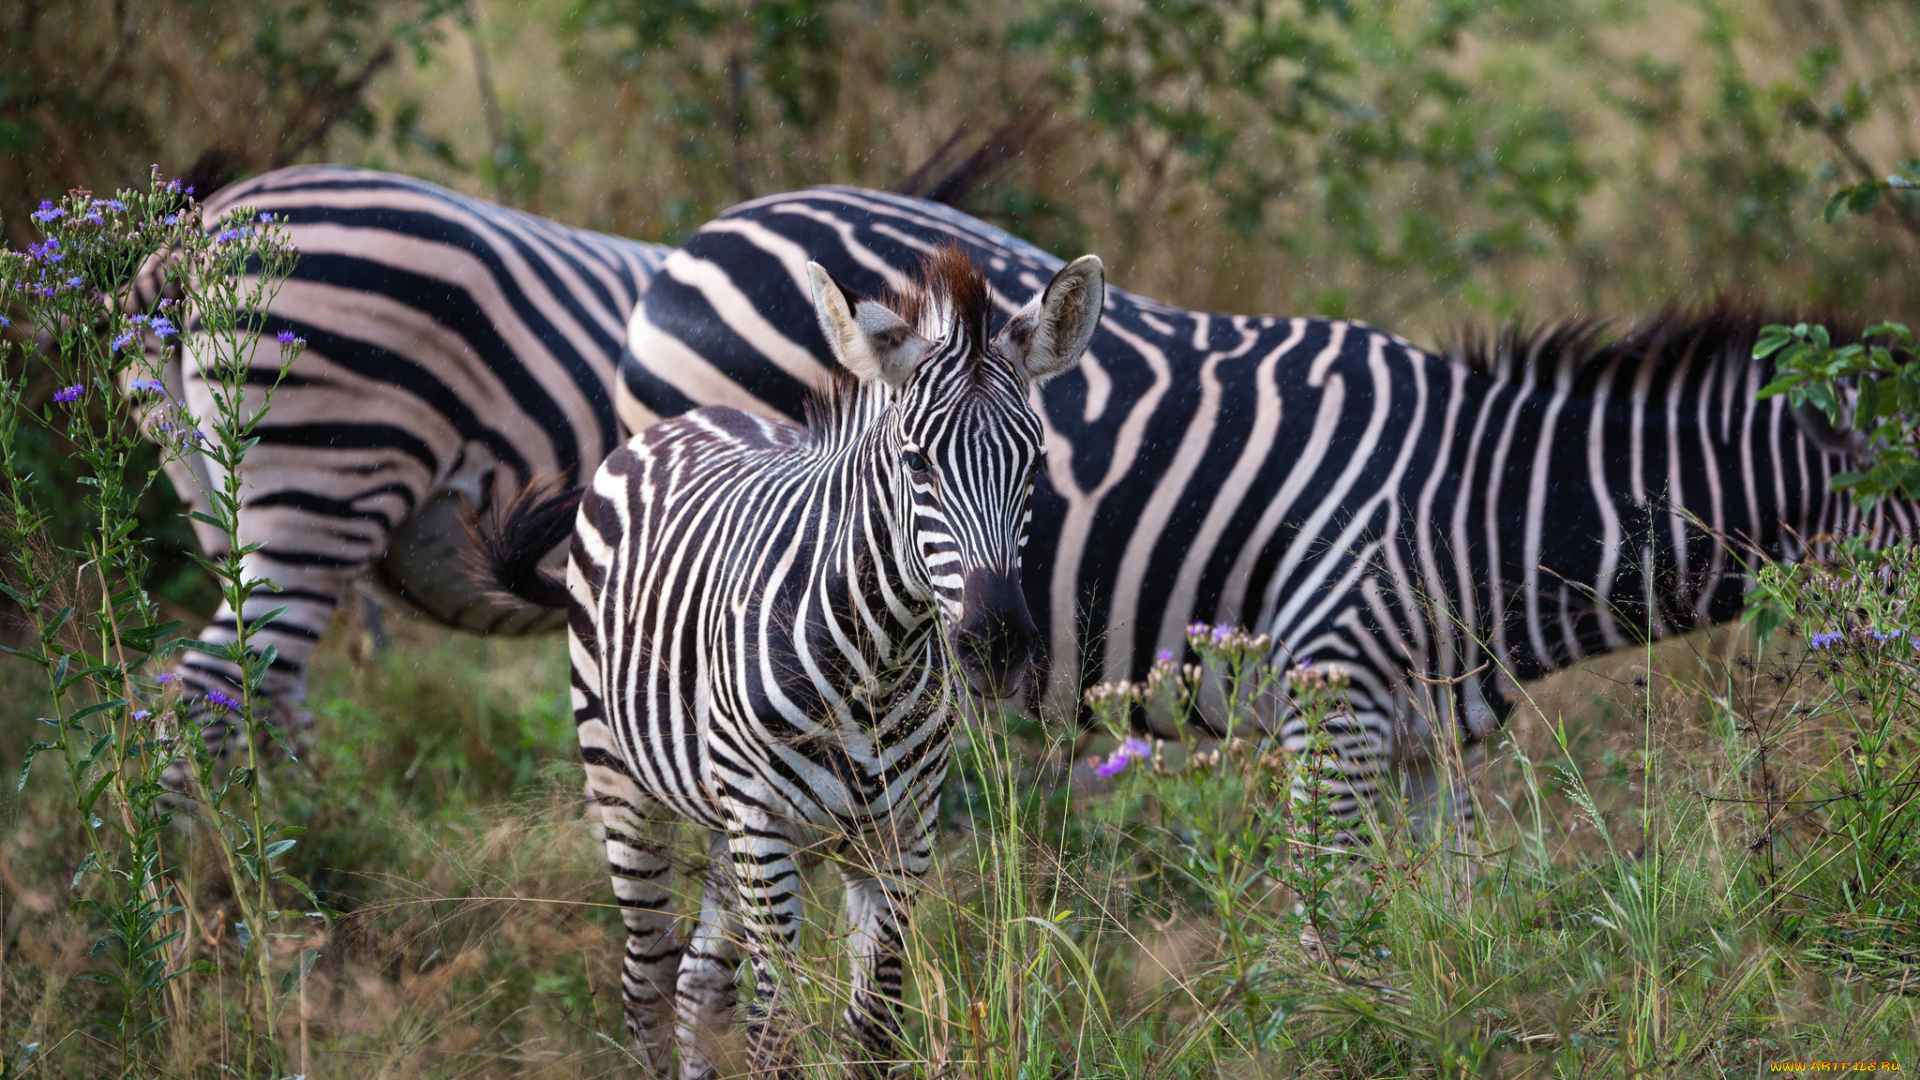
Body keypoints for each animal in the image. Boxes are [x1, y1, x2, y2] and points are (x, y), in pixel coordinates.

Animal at [472, 242, 1105, 1068]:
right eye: (916, 463)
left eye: (1033, 465)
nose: (996, 644)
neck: (877, 663)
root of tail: (689, 418)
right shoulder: (765, 822)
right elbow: (774, 1033)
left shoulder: (903, 836)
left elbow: (872, 1026)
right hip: (628, 785)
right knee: (648, 980)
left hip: (725, 819)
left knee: (699, 982)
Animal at [622, 184, 1912, 818]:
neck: (1477, 506)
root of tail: (698, 239)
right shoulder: (1332, 703)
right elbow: (1332, 937)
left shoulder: (1431, 744)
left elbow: (1438, 930)